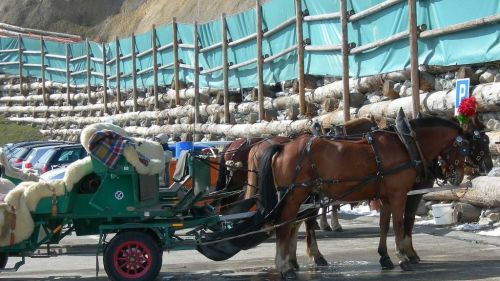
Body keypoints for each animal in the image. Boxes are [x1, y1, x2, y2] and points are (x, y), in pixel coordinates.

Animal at [256, 115, 474, 276]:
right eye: (464, 147)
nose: (458, 176)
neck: (404, 144)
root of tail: (284, 147)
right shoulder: (399, 194)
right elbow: (399, 224)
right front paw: (403, 257)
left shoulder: (385, 198)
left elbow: (384, 226)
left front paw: (385, 257)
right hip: (295, 194)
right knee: (285, 224)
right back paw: (285, 267)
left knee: (292, 224)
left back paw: (291, 262)